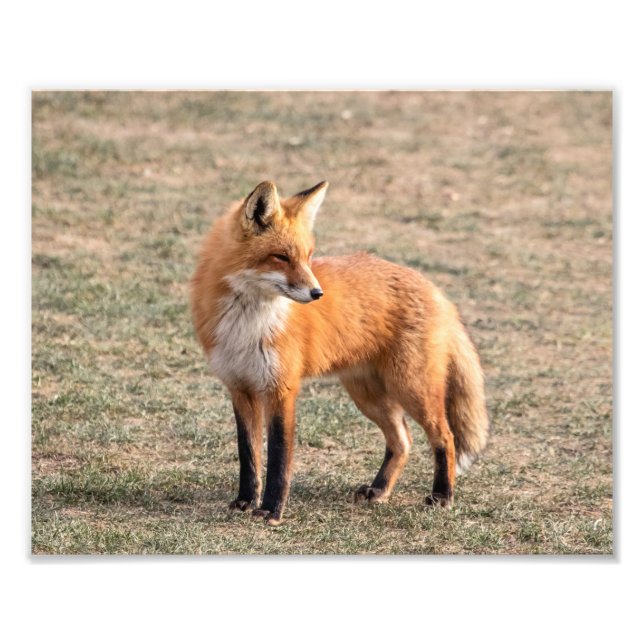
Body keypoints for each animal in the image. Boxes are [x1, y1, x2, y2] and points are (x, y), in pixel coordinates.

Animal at [191, 180, 489, 526]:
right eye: (280, 257)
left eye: (308, 257)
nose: (317, 293)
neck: (248, 323)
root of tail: (435, 289)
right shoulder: (240, 388)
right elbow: (248, 454)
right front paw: (245, 501)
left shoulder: (282, 389)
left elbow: (278, 456)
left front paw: (272, 510)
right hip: (367, 396)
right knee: (402, 441)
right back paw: (379, 490)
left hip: (412, 388)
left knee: (445, 437)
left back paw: (442, 495)